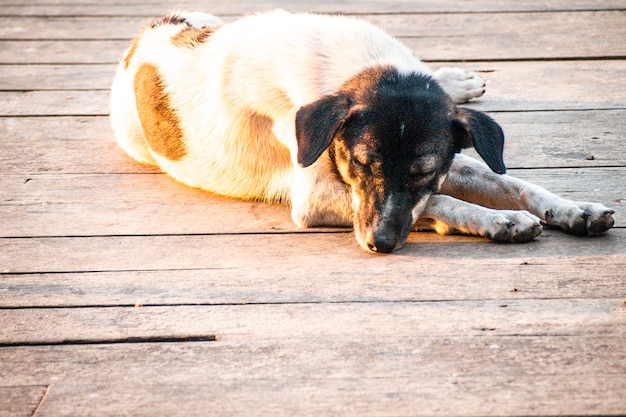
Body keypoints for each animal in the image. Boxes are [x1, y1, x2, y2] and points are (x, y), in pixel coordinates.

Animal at [109, 11, 612, 254]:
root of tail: (141, 39)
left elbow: (515, 183)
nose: (379, 245)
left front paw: (576, 209)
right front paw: (500, 220)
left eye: (422, 172)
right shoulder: (317, 196)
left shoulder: (445, 163)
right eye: (361, 163)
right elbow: (445, 204)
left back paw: (457, 81)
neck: (360, 69)